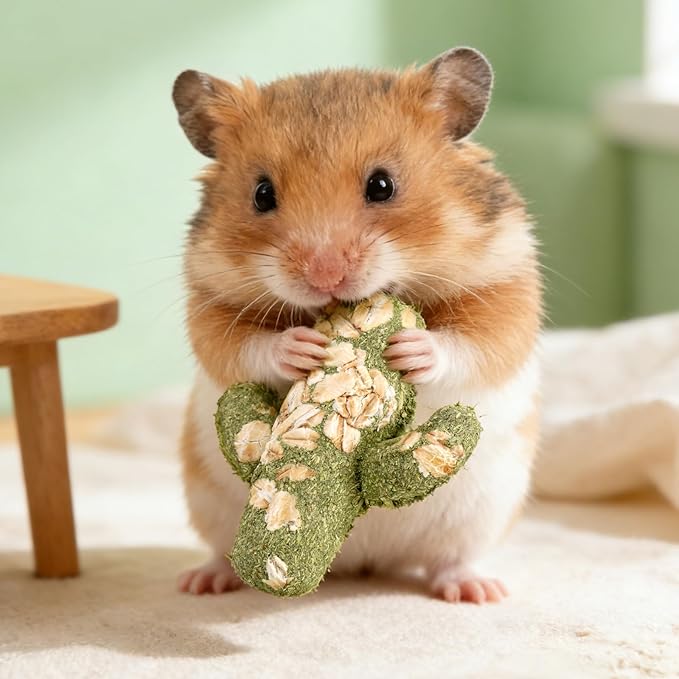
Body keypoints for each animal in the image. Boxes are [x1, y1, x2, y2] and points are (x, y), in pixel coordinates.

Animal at [172, 47, 542, 603]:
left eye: (382, 185)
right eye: (261, 194)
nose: (325, 276)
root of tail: (364, 561)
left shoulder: (508, 284)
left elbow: (476, 342)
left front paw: (410, 350)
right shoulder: (210, 301)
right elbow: (239, 345)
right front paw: (302, 348)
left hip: (485, 510)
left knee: (451, 558)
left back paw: (478, 592)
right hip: (207, 500)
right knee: (217, 550)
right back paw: (202, 582)